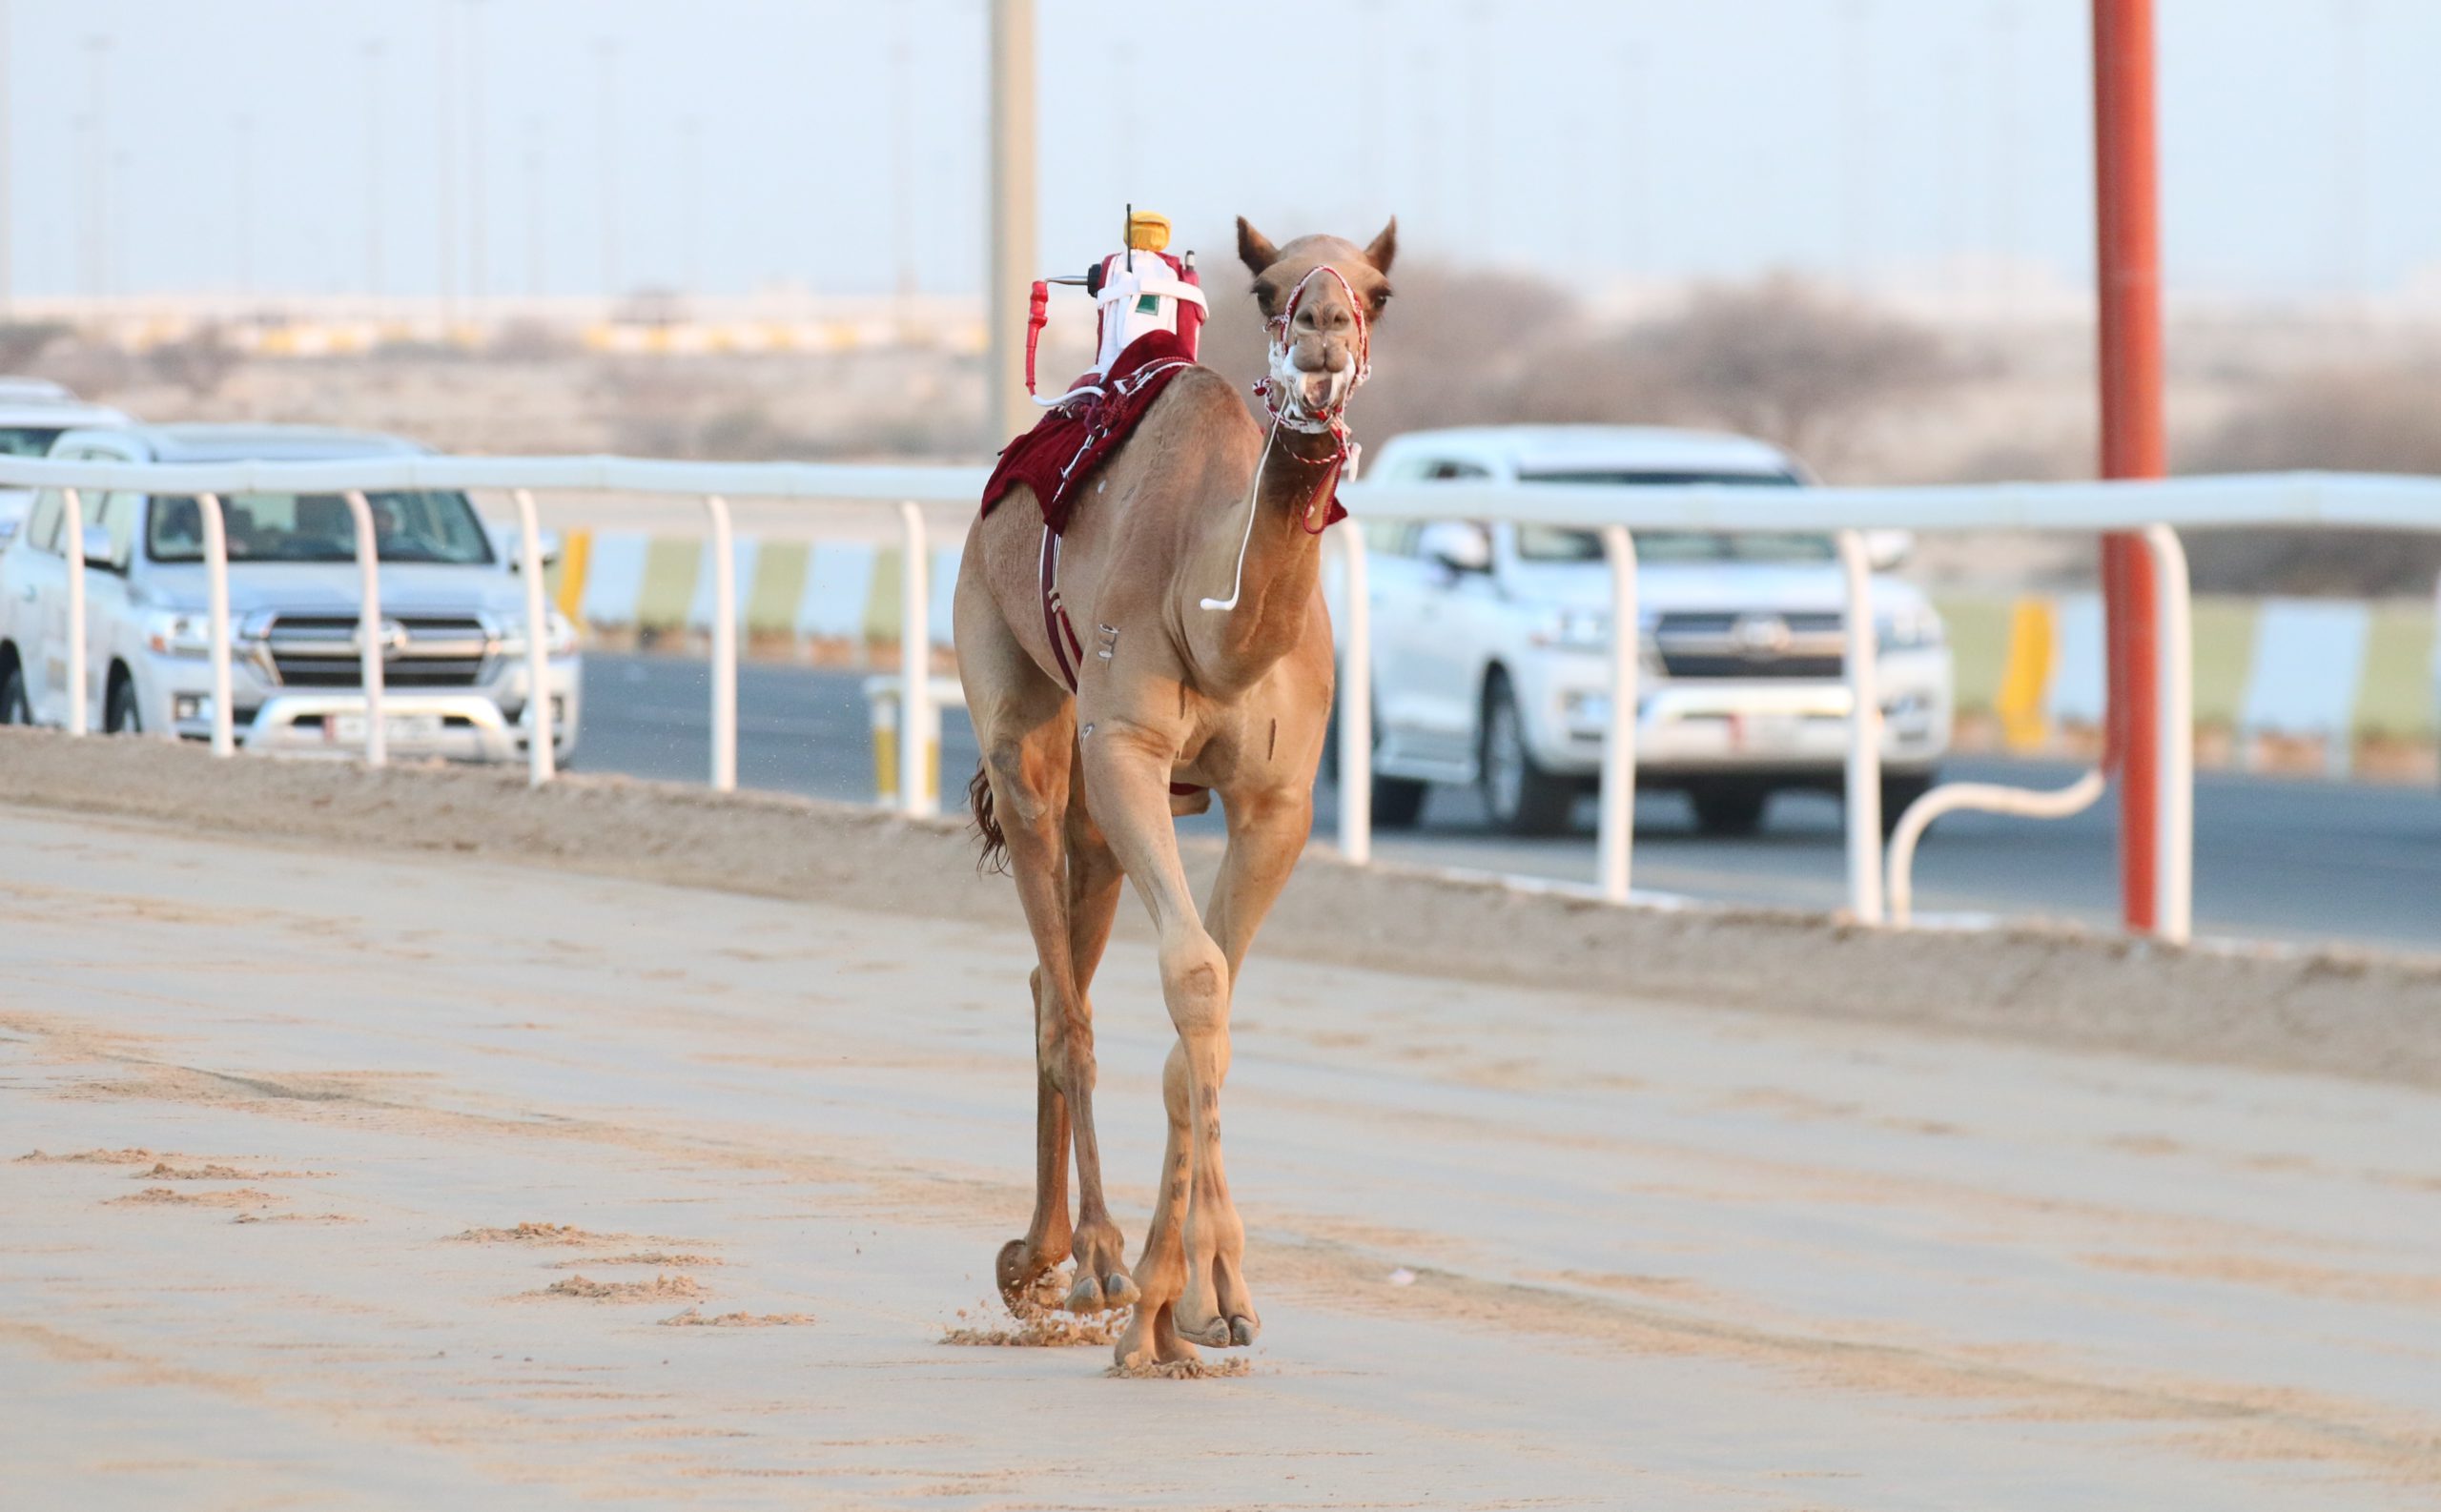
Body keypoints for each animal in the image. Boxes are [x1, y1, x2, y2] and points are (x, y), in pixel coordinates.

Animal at [947, 215, 1396, 1365]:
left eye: (1378, 290)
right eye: (1271, 287)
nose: (1324, 330)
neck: (1215, 614)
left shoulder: (1279, 802)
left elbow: (1214, 1000)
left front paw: (1209, 1296)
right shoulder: (1126, 750)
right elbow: (1192, 976)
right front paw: (1159, 1300)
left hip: (1092, 813)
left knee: (1053, 976)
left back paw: (1037, 1259)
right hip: (1023, 722)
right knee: (1064, 1003)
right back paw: (1088, 1262)